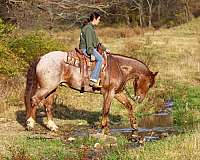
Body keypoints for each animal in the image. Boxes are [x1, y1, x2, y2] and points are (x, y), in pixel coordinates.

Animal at [23, 48, 158, 132]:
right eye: (149, 84)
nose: (139, 99)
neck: (119, 68)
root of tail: (42, 58)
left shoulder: (117, 93)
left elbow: (128, 105)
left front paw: (134, 125)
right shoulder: (109, 93)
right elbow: (106, 110)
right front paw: (104, 128)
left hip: (52, 89)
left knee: (48, 105)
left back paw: (52, 126)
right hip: (47, 87)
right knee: (34, 99)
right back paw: (30, 124)